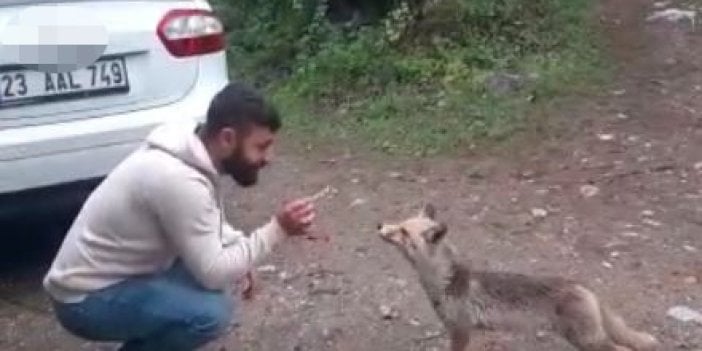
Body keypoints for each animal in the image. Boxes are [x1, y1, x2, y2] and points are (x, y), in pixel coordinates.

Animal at [376, 205, 664, 351]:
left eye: (403, 232)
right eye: (398, 224)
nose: (379, 225)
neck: (446, 283)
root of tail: (582, 286)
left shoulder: (460, 330)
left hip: (587, 340)